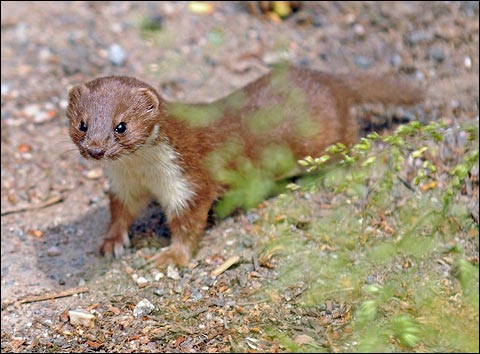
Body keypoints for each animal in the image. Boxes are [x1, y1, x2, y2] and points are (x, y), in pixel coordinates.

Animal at [65, 65, 422, 266]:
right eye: (82, 124)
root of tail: (330, 80)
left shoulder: (189, 181)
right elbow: (120, 211)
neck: (144, 172)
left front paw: (171, 257)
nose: (95, 150)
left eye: (121, 126)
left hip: (330, 139)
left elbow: (189, 224)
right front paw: (111, 242)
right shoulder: (125, 184)